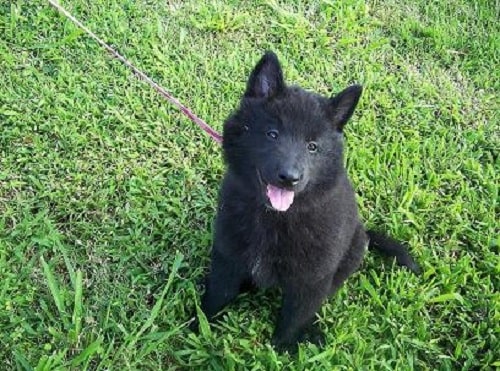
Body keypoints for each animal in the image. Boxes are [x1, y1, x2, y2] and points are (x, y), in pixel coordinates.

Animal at [194, 51, 418, 352]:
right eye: (272, 134)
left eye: (312, 147)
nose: (290, 178)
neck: (276, 218)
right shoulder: (228, 256)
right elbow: (217, 295)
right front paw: (197, 328)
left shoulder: (312, 279)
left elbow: (294, 317)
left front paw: (280, 350)